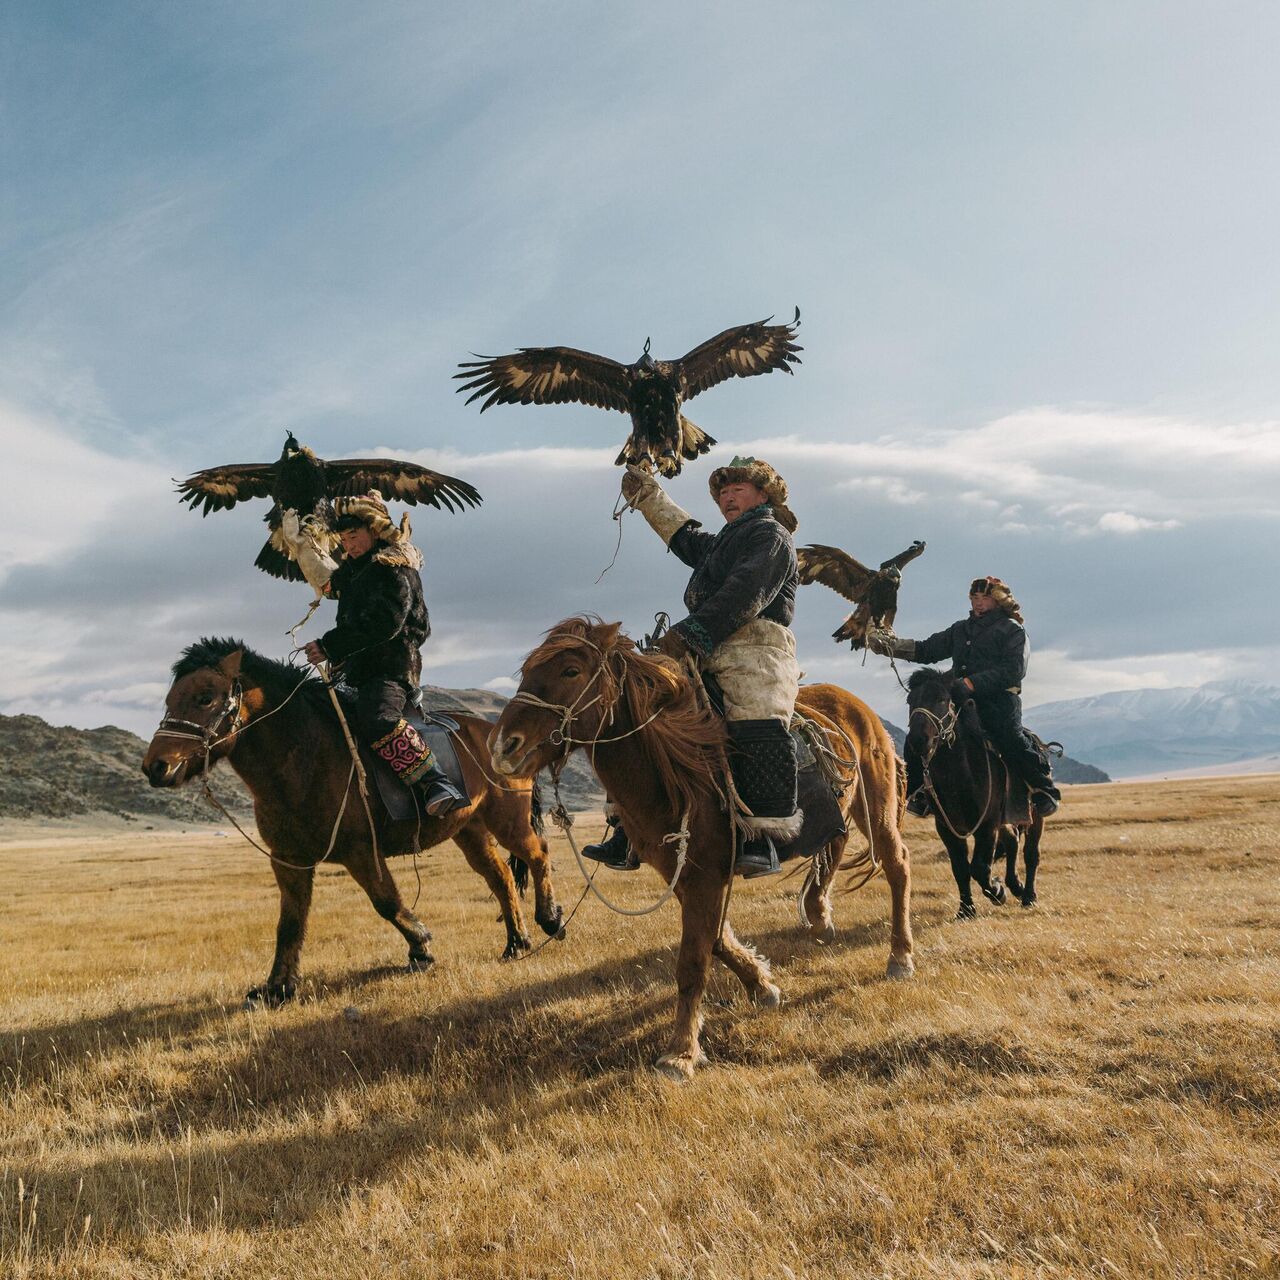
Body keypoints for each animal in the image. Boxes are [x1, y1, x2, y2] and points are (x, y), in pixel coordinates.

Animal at [141, 634, 565, 1003]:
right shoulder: (288, 861)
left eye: (205, 697)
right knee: (501, 876)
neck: (304, 757)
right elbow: (289, 923)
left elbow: (387, 903)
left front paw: (422, 947)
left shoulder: (362, 852)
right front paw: (277, 989)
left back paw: (550, 920)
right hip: (470, 830)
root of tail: (499, 733)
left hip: (507, 819)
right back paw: (516, 943)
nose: (156, 767)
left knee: (538, 854)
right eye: (170, 699)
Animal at [486, 619, 911, 1080]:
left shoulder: (705, 875)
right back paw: (818, 917)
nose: (503, 747)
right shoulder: (684, 874)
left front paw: (680, 1053)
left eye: (570, 671)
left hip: (876, 805)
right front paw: (762, 985)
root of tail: (856, 705)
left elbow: (692, 961)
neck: (672, 771)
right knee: (835, 842)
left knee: (896, 865)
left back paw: (900, 957)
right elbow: (717, 940)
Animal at [906, 670, 1044, 921]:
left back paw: (1028, 895)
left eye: (942, 699)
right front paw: (966, 910)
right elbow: (960, 868)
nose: (919, 740)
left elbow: (979, 868)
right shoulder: (946, 826)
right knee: (1012, 841)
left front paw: (998, 891)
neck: (959, 774)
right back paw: (1016, 885)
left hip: (1034, 817)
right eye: (910, 700)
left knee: (1031, 853)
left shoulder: (987, 824)